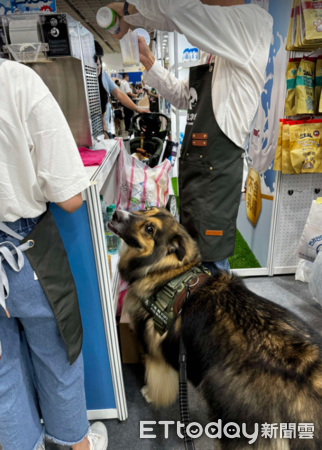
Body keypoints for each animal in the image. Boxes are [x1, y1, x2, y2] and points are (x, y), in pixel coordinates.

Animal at [109, 207, 322, 450]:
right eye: (145, 209)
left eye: (150, 229)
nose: (116, 214)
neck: (169, 270)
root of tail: (310, 378)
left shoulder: (156, 350)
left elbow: (156, 379)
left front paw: (149, 394)